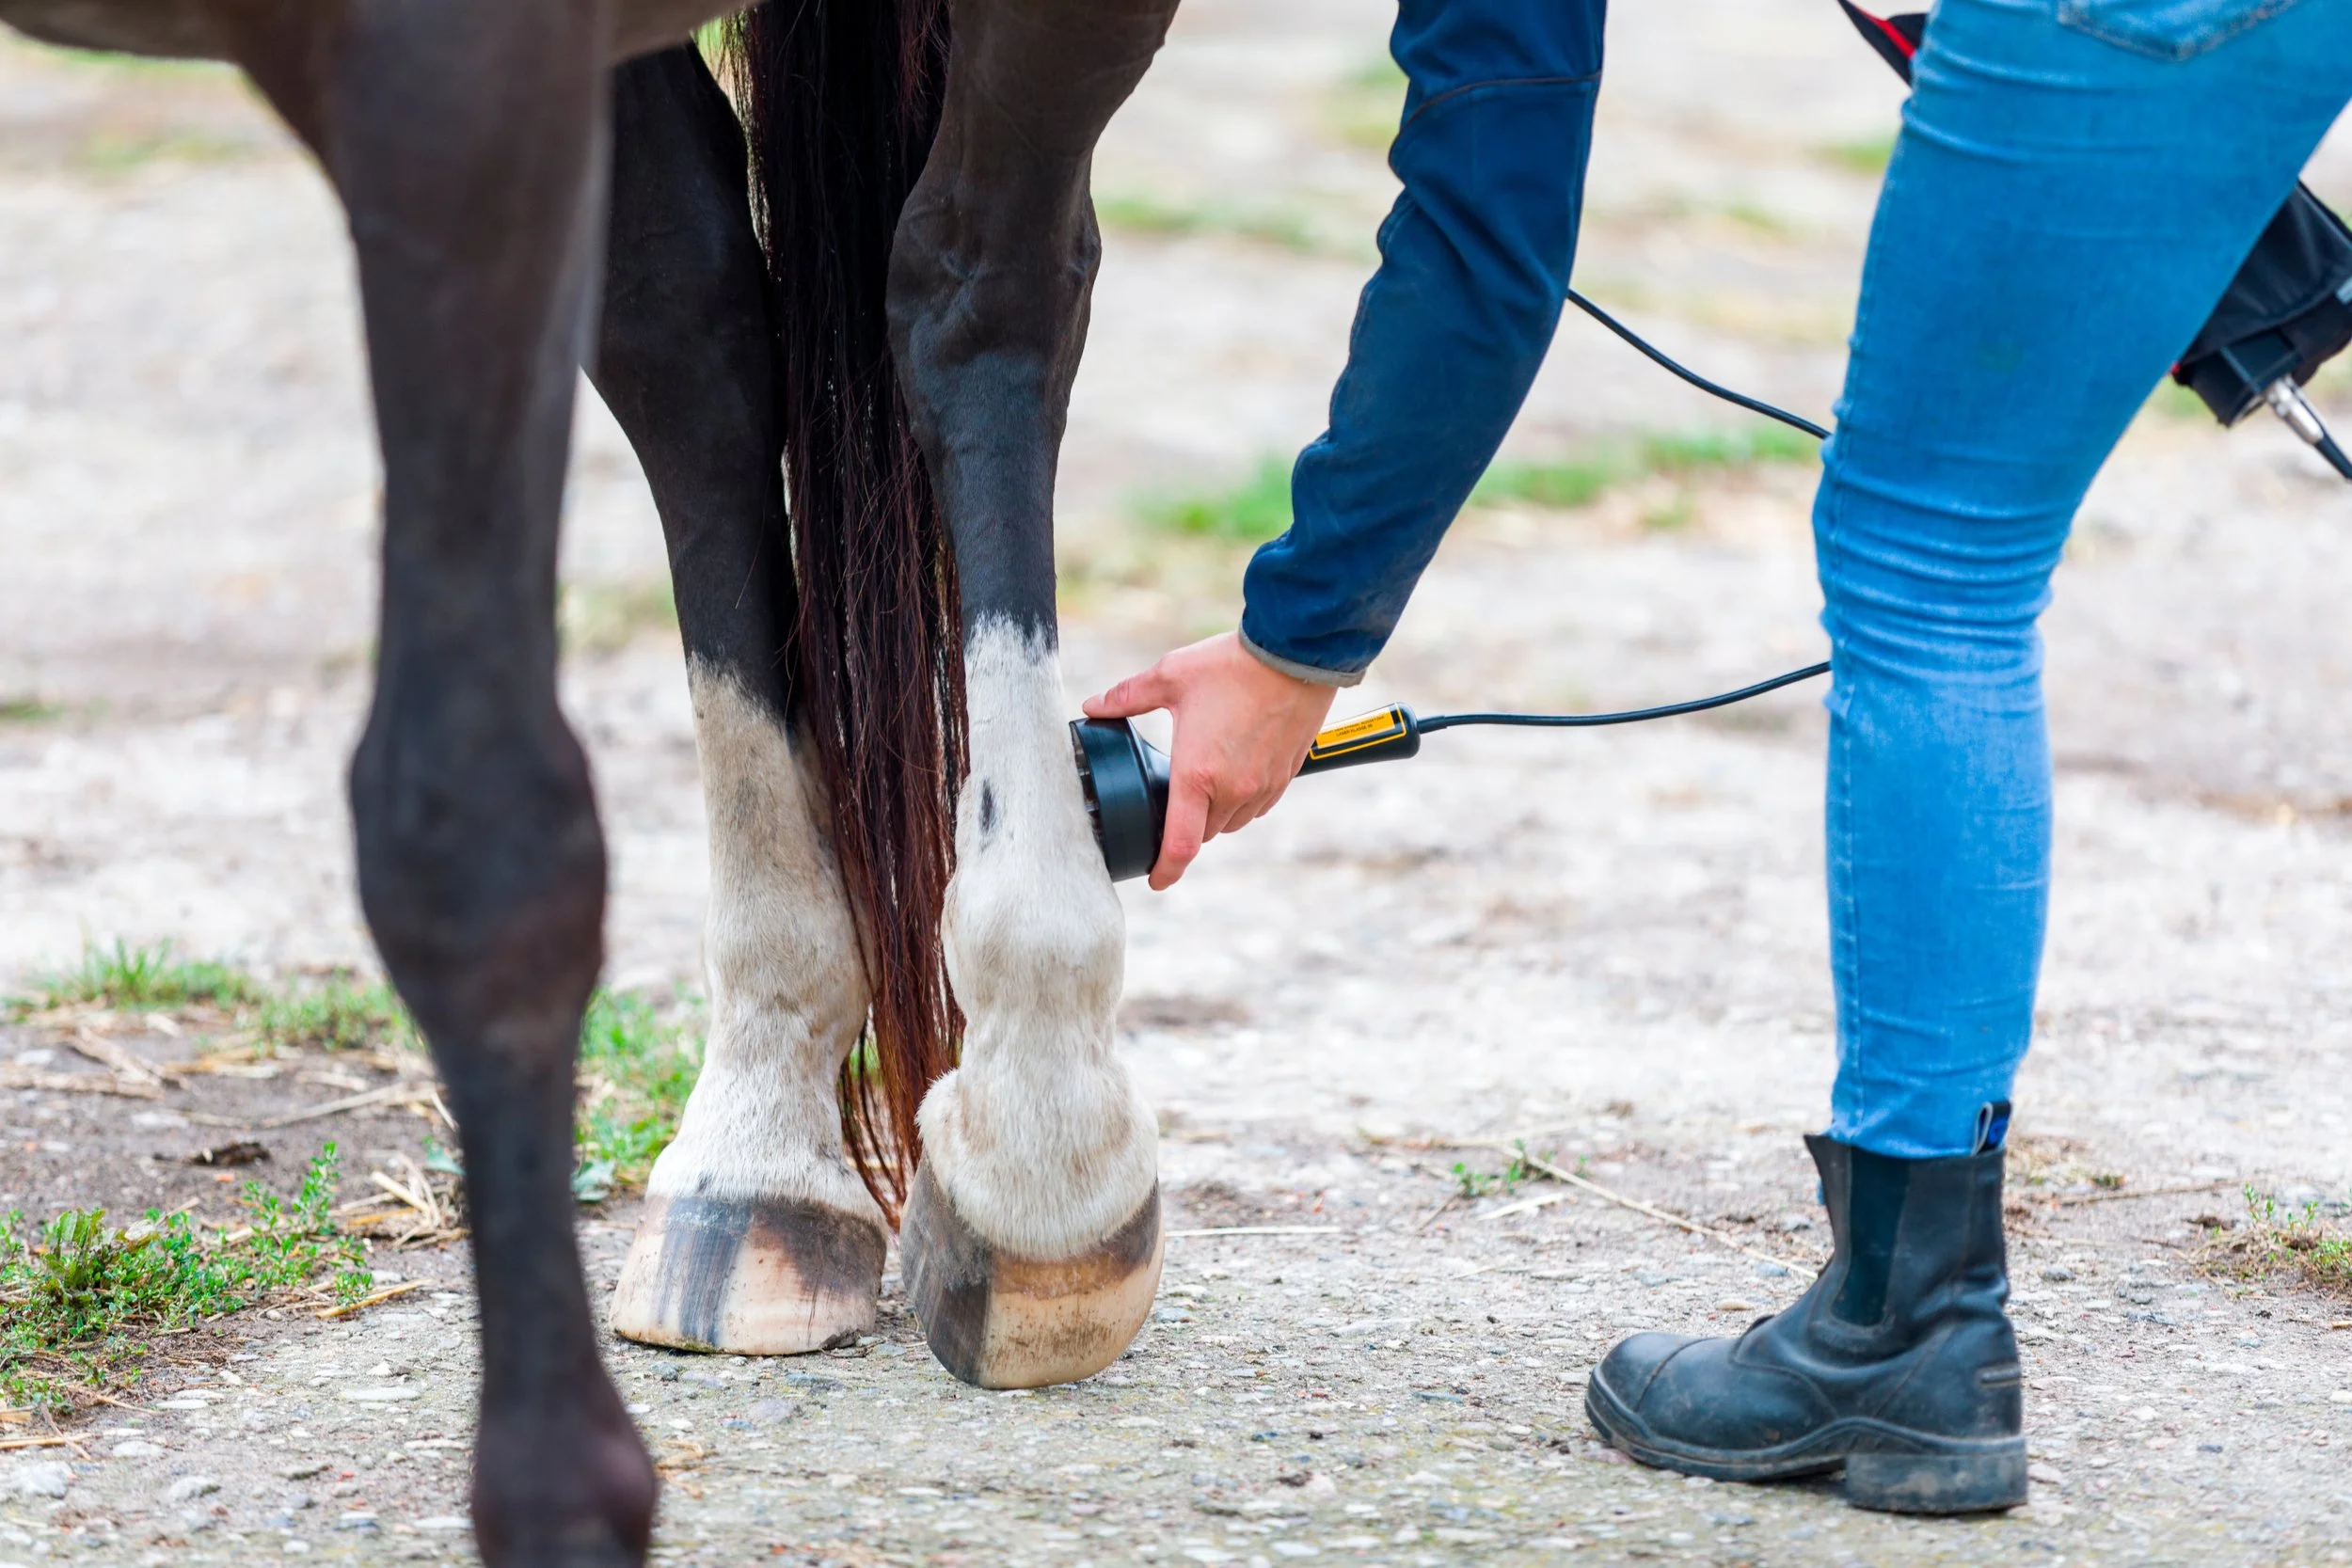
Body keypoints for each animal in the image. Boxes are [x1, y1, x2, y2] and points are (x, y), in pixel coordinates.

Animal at [0, 0, 1184, 1561]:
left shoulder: (457, 79)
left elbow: (473, 836)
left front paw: (557, 1488)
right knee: (694, 332)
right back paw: (758, 1149)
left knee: (977, 290)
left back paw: (1042, 1126)